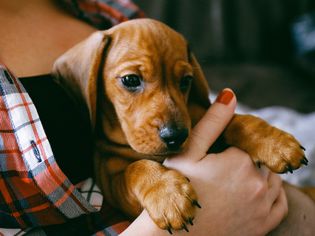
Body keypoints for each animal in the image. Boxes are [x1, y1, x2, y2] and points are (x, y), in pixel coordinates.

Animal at [53, 18, 312, 232]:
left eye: (186, 80)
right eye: (130, 80)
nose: (175, 136)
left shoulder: (200, 117)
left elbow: (238, 121)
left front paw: (275, 143)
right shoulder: (113, 184)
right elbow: (135, 168)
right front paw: (167, 194)